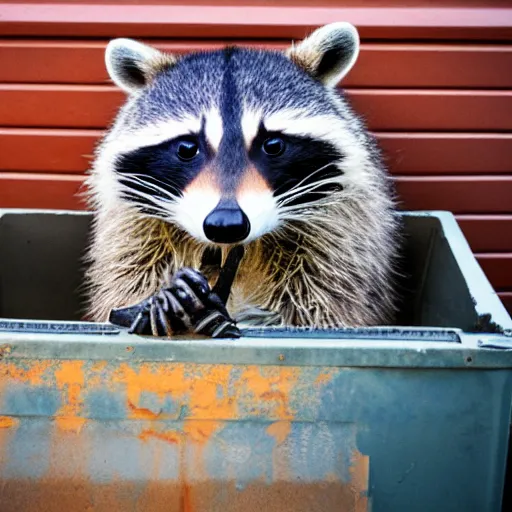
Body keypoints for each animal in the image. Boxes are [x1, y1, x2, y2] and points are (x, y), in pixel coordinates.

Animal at [85, 23, 400, 336]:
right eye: (187, 148)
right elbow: (127, 279)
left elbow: (323, 306)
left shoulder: (340, 232)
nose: (226, 224)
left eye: (273, 145)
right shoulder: (133, 230)